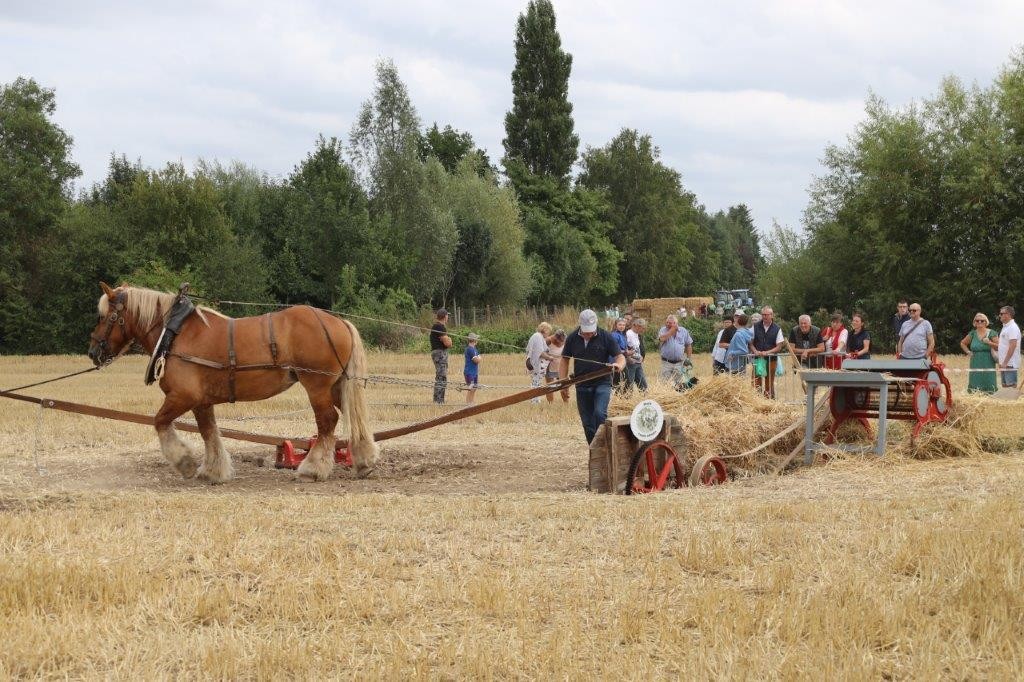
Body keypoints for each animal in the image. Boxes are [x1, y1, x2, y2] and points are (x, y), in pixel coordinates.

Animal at [86, 280, 378, 483]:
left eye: (105, 317)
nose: (92, 351)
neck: (176, 333)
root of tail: (338, 322)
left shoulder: (183, 396)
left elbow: (160, 422)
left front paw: (185, 462)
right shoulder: (201, 401)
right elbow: (209, 432)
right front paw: (214, 471)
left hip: (317, 386)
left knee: (327, 421)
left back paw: (313, 469)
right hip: (337, 385)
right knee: (352, 416)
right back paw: (364, 461)